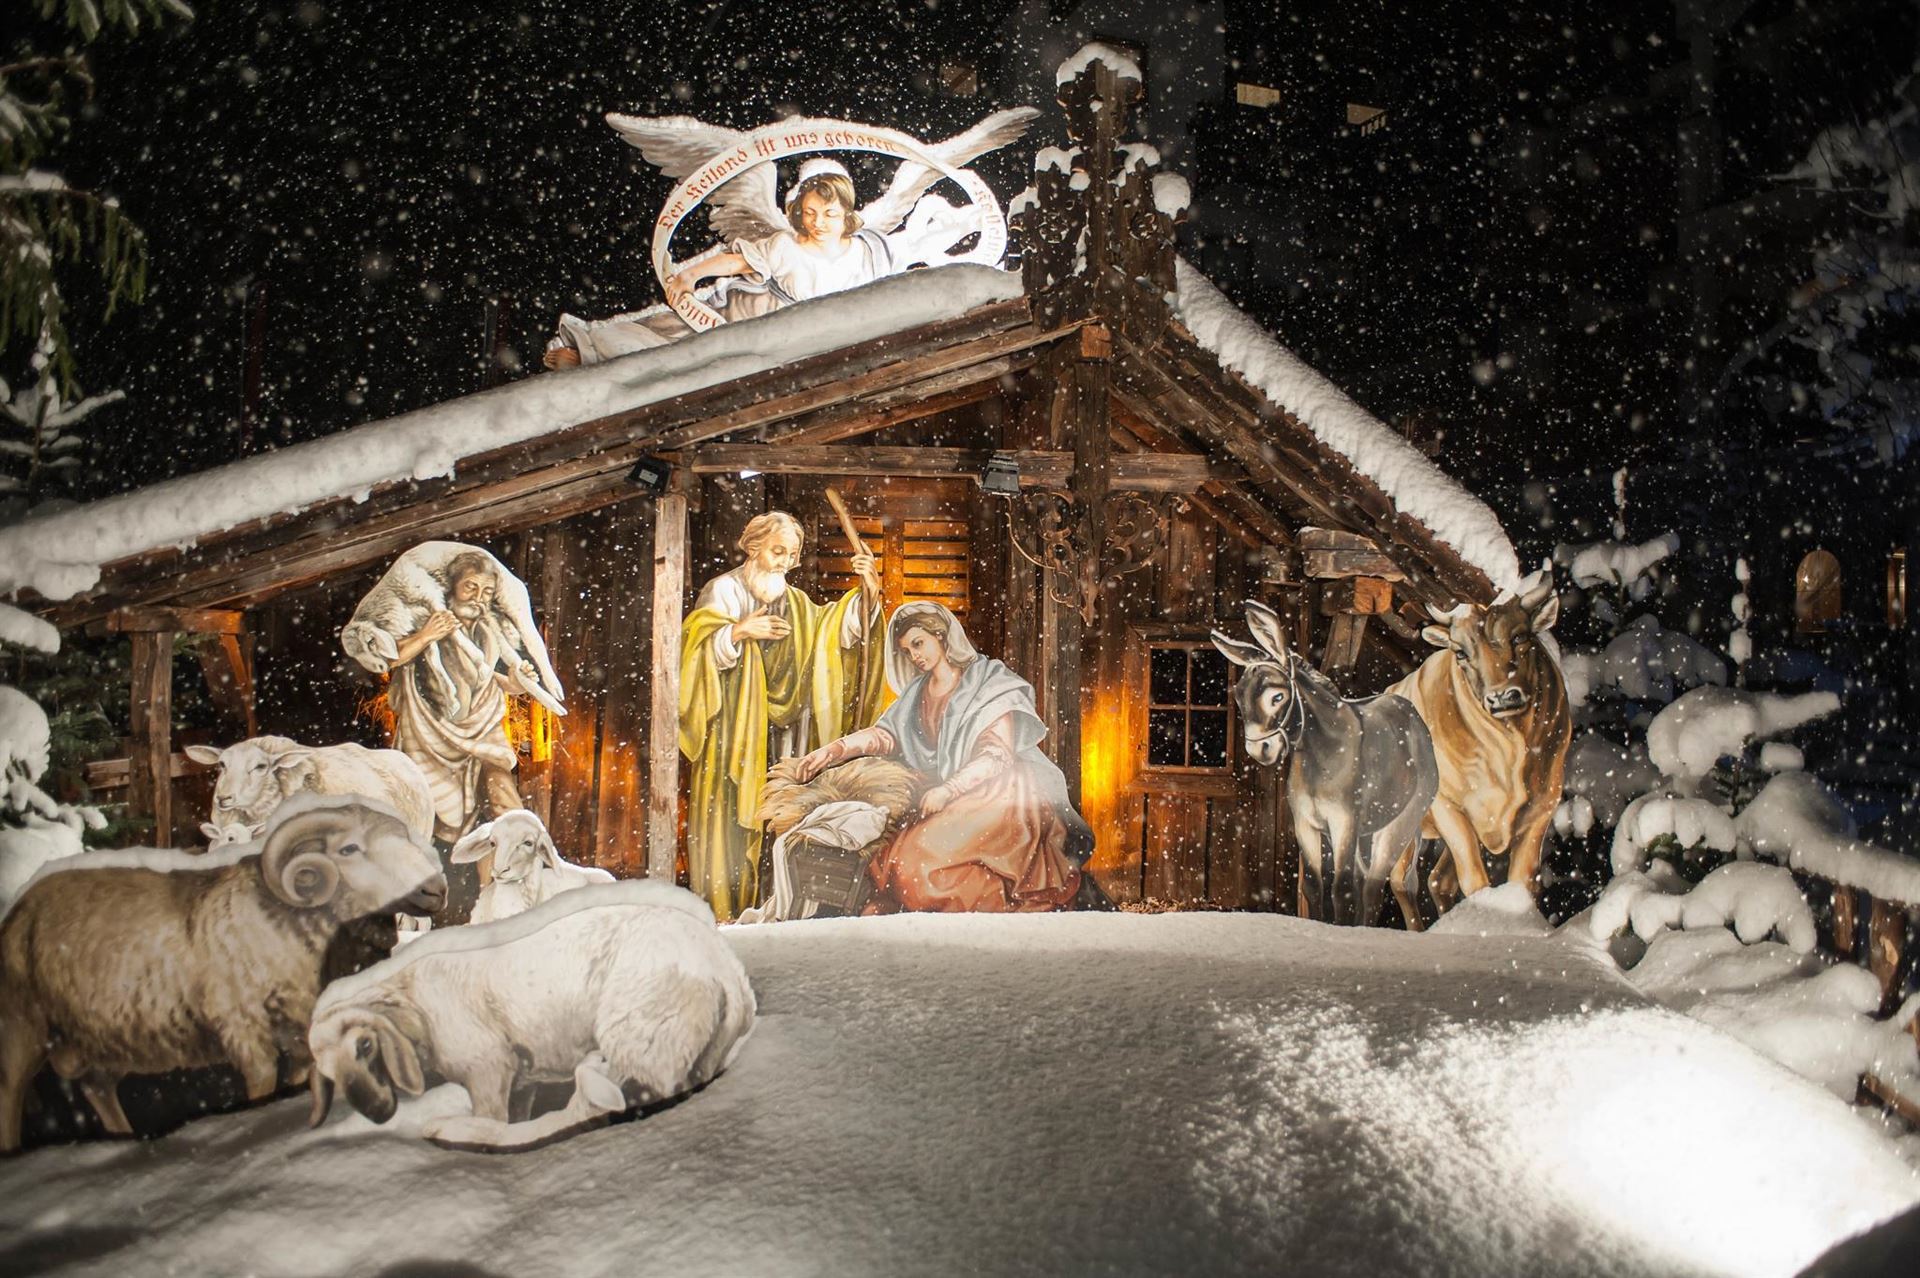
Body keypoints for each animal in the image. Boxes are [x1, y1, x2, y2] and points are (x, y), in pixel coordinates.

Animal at [1, 790, 441, 1151]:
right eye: (349, 848)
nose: (436, 890)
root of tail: (18, 909)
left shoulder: (297, 1037)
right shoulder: (245, 1033)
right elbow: (261, 1090)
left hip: (102, 1038)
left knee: (98, 1088)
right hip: (23, 1030)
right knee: (10, 1092)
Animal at [305, 882, 748, 1151]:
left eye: (365, 1045)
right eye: (328, 1075)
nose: (378, 1113)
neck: (414, 1001)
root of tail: (729, 972)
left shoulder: (486, 1066)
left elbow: (494, 1116)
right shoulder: (519, 1077)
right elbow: (517, 1113)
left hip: (645, 1040)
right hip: (697, 1050)